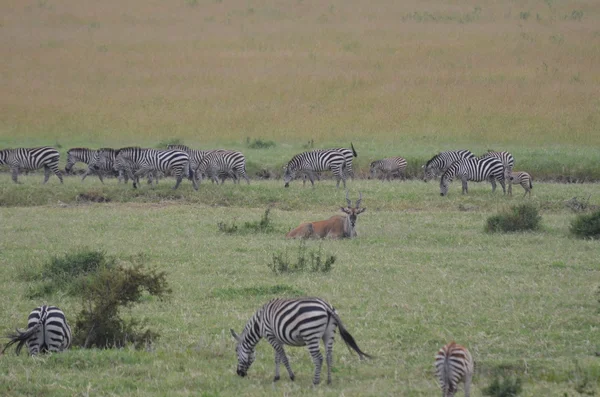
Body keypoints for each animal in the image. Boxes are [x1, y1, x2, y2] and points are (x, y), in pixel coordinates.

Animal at [230, 296, 370, 384]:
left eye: (236, 351)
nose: (239, 373)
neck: (259, 324)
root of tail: (326, 306)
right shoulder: (277, 338)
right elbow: (277, 357)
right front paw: (276, 377)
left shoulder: (270, 335)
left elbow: (283, 357)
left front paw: (292, 376)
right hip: (329, 333)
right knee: (329, 356)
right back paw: (329, 381)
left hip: (310, 334)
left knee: (318, 358)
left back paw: (315, 382)